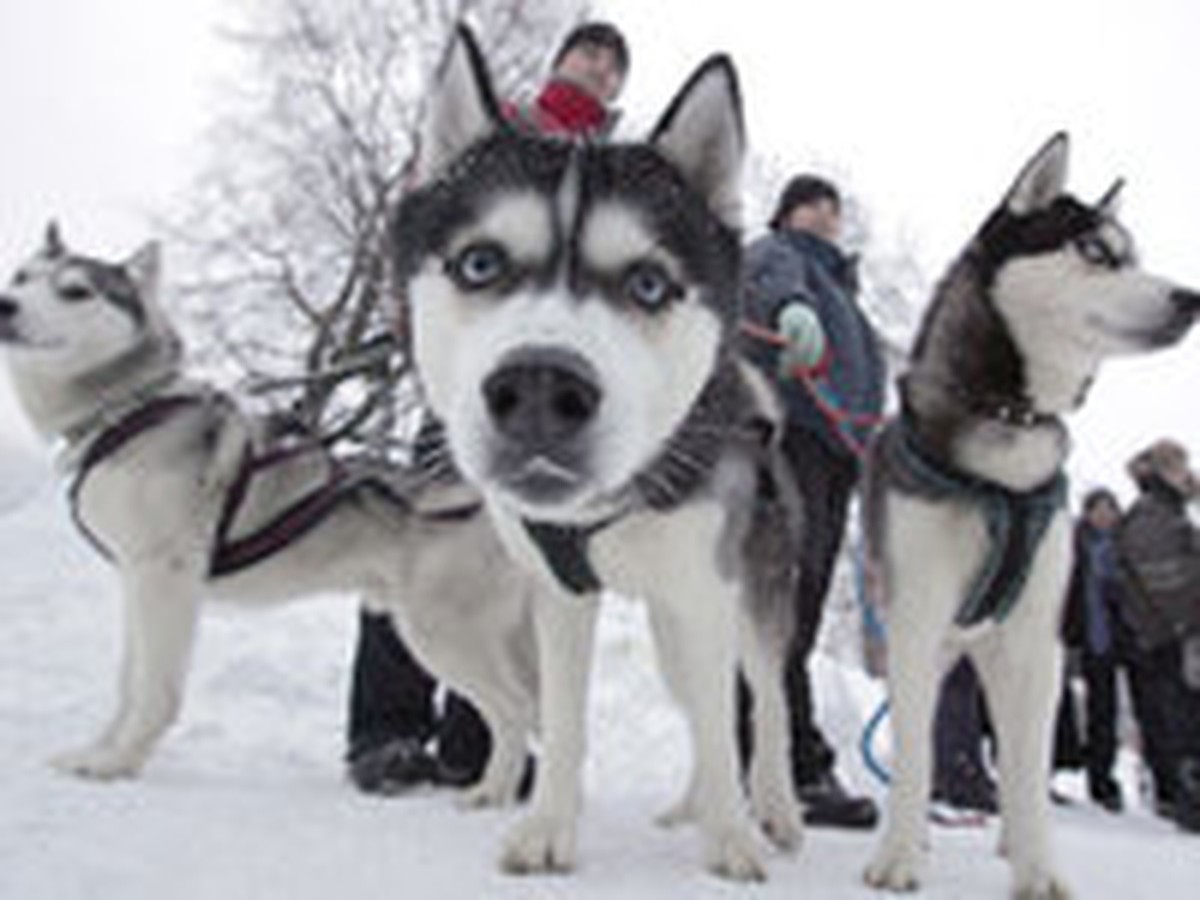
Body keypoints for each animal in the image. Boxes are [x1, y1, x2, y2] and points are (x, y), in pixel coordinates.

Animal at [0, 226, 540, 811]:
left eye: (75, 291)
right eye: (21, 278)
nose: (5, 305)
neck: (128, 408)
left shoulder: (165, 580)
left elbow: (154, 690)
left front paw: (118, 764)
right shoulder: (136, 584)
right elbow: (129, 682)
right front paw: (96, 752)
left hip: (439, 634)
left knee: (514, 712)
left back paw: (492, 793)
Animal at [393, 26, 801, 883]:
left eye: (647, 284)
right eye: (479, 263)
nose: (542, 388)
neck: (617, 508)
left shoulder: (709, 595)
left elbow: (731, 727)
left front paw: (733, 839)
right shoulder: (562, 598)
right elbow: (566, 719)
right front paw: (549, 828)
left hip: (744, 603)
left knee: (764, 704)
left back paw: (775, 811)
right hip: (674, 628)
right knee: (700, 707)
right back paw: (688, 807)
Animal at [864, 135, 1200, 900]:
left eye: (1133, 253)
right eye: (1095, 252)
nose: (1191, 299)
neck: (1007, 425)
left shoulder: (1037, 642)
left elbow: (1023, 766)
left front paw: (1039, 869)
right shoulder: (916, 619)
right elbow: (916, 754)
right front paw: (897, 856)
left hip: (1001, 651)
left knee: (1017, 754)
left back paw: (1013, 839)